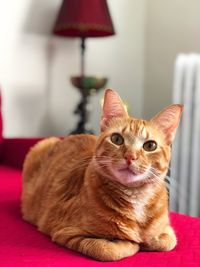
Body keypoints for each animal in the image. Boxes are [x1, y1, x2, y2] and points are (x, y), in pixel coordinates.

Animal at [21, 89, 183, 262]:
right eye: (117, 139)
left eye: (150, 146)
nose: (130, 156)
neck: (136, 196)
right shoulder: (65, 231)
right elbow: (109, 249)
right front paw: (132, 242)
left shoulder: (167, 230)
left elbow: (166, 241)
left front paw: (148, 240)